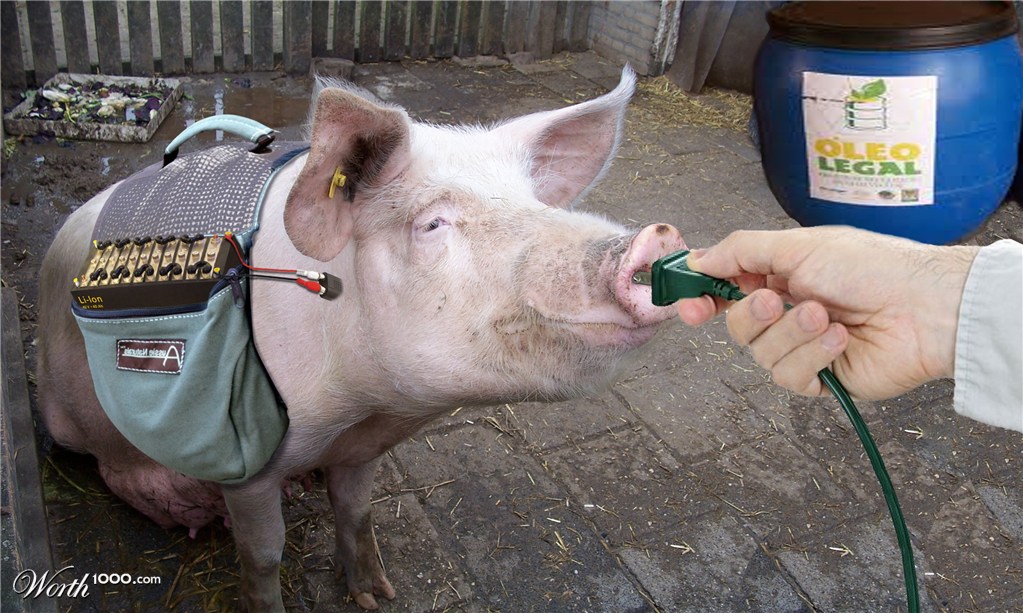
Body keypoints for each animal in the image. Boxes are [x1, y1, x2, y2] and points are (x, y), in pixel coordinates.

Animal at [35, 67, 685, 611]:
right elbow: (263, 555)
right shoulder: (248, 469)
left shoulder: (360, 448)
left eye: (532, 201)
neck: (360, 408)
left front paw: (377, 596)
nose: (654, 238)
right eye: (431, 223)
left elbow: (356, 513)